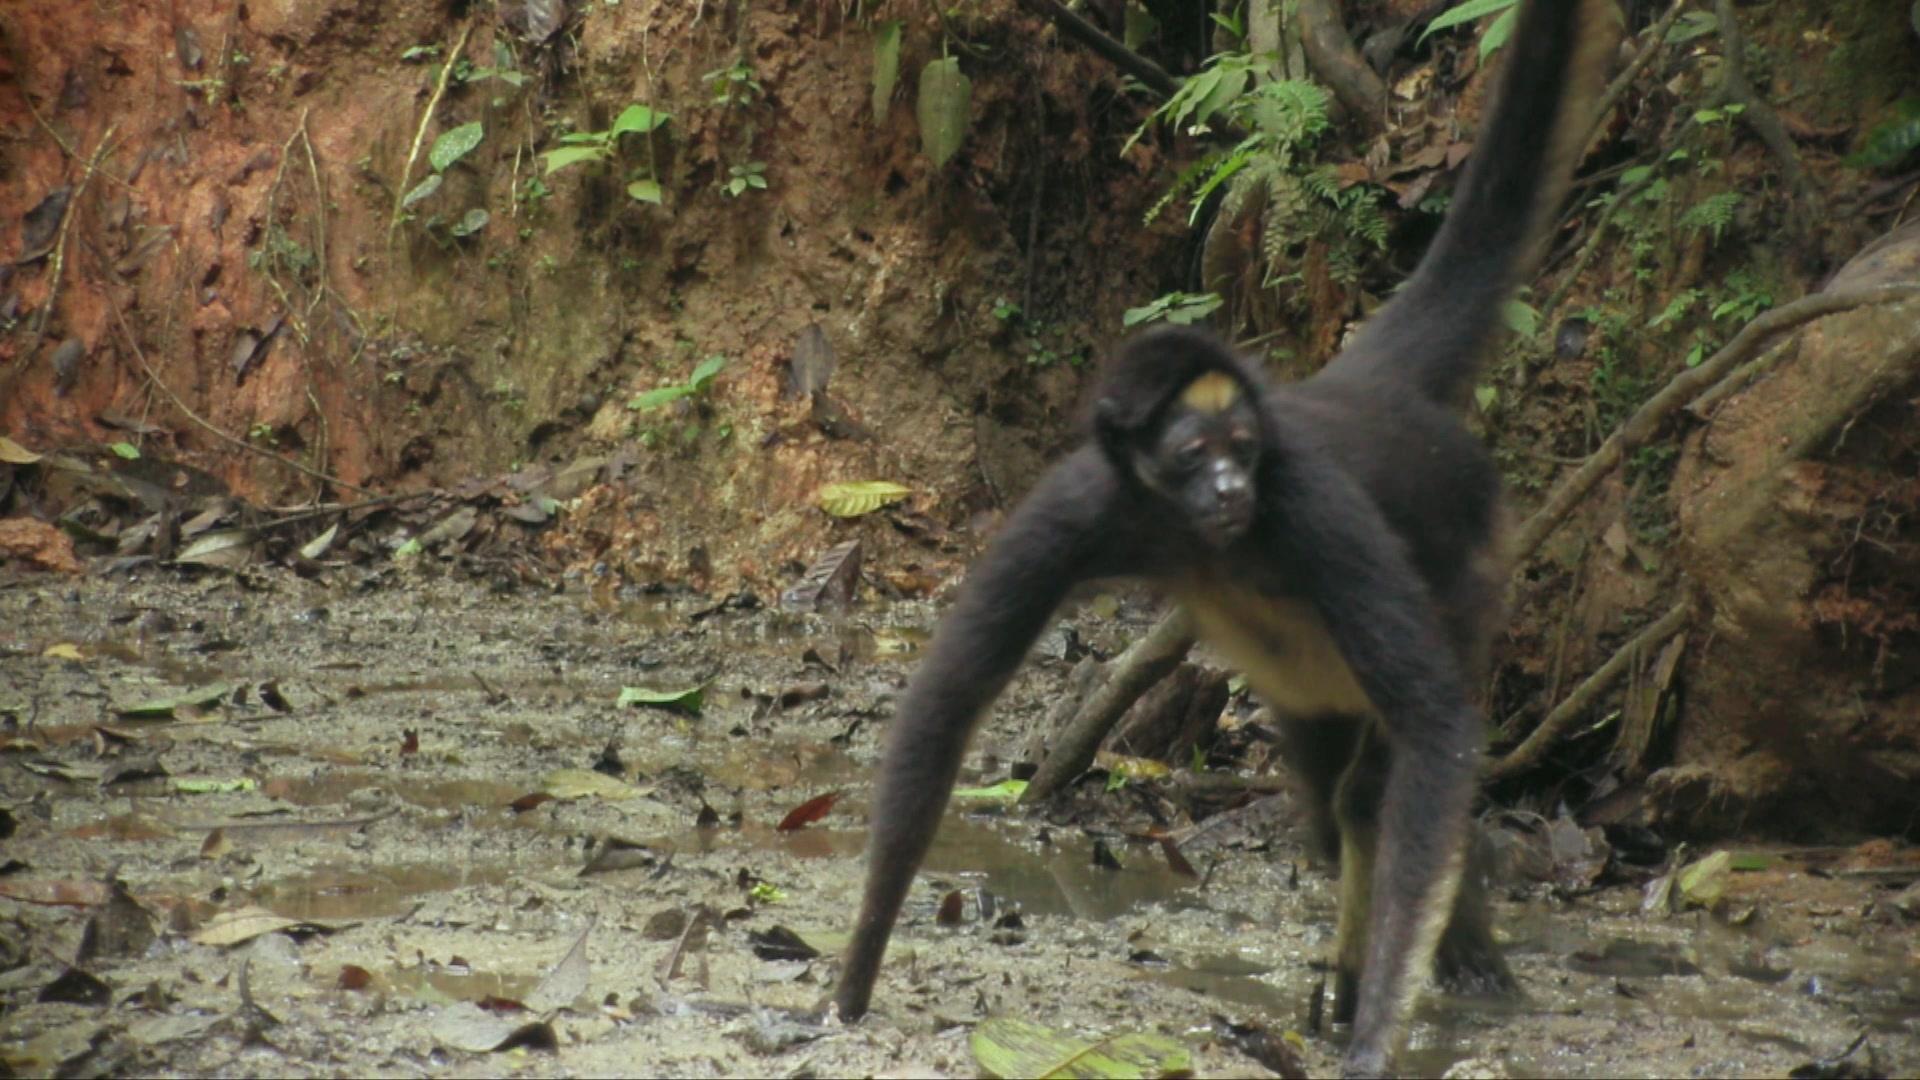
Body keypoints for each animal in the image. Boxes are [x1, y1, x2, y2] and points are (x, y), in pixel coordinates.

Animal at [840, 4, 1620, 1068]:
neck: (1200, 535)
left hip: (1470, 566)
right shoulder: (1083, 504)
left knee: (1378, 784)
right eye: (1191, 452)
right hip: (1315, 688)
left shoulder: (1308, 504)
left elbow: (1433, 722)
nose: (1228, 485)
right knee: (1334, 798)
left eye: (1242, 448)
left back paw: (1441, 959)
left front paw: (1379, 1033)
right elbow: (949, 695)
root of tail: (1363, 386)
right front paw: (852, 977)